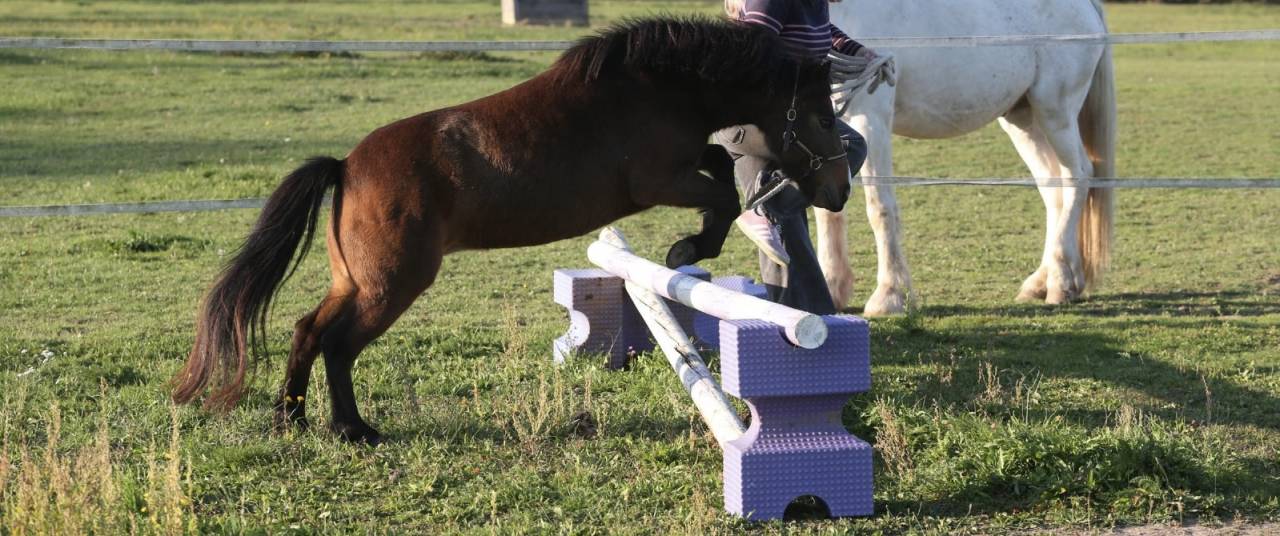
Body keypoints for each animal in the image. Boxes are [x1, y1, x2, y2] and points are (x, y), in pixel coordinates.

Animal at [170, 17, 852, 444]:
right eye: (821, 119)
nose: (838, 192)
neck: (660, 89)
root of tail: (346, 165)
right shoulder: (659, 182)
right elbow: (723, 194)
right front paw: (689, 246)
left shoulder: (683, 166)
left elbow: (719, 171)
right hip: (392, 285)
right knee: (338, 344)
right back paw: (353, 431)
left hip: (356, 282)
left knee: (307, 329)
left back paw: (291, 419)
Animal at [818, 0, 1116, 315]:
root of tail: (1085, 5)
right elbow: (828, 209)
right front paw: (831, 288)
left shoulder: (871, 120)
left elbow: (880, 207)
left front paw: (890, 296)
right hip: (1025, 121)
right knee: (1053, 188)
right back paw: (1044, 282)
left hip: (1056, 113)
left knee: (1077, 176)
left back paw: (1060, 282)